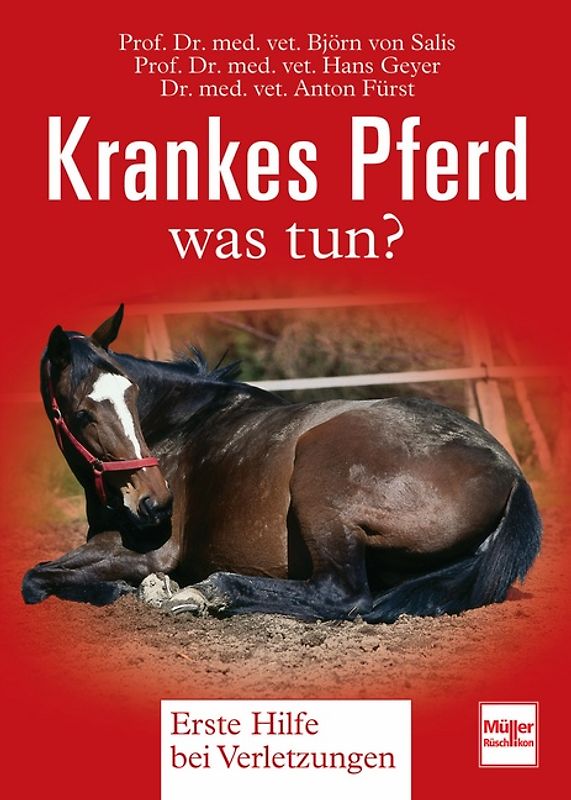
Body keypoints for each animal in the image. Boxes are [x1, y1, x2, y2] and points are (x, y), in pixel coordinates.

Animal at [22, 305, 542, 622]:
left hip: (320, 483)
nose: (155, 502)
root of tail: (510, 471)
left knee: (343, 593)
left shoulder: (150, 550)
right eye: (83, 413)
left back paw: (210, 591)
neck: (179, 424)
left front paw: (122, 589)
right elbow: (42, 571)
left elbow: (35, 577)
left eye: (131, 394)